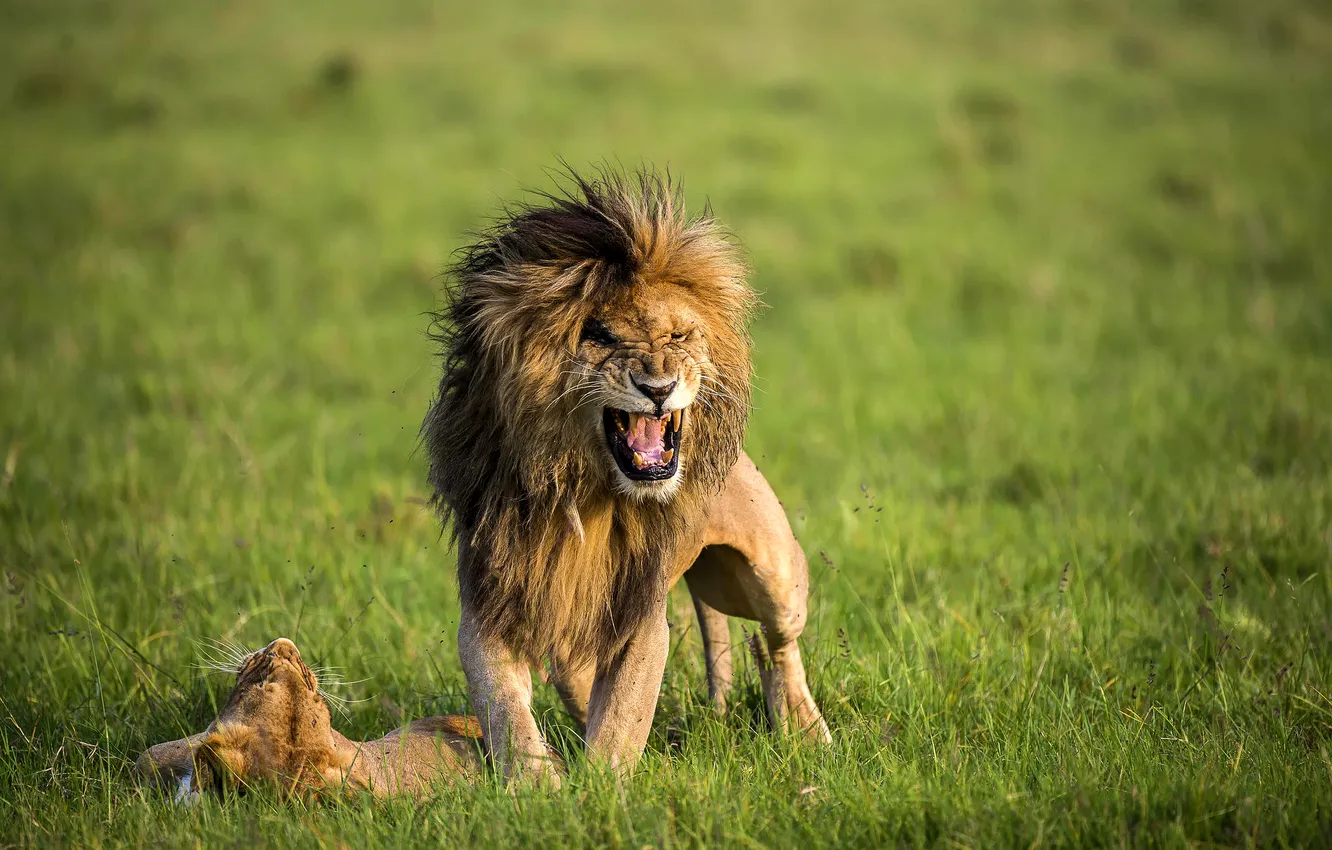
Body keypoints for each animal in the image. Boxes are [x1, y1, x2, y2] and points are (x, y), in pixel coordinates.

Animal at [420, 167, 825, 788]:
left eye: (680, 337)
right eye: (601, 337)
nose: (657, 387)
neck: (582, 490)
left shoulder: (640, 616)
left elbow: (622, 719)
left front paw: (602, 790)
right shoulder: (492, 599)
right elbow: (504, 706)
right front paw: (536, 787)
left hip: (773, 572)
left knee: (774, 641)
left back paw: (806, 731)